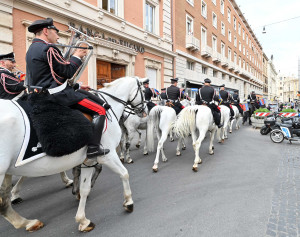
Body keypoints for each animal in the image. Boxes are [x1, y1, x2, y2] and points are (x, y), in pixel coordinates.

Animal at [0, 77, 146, 232]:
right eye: (144, 91)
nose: (144, 111)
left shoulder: (88, 161)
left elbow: (85, 188)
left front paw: (83, 220)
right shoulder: (108, 155)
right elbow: (124, 174)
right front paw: (129, 202)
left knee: (4, 204)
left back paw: (29, 222)